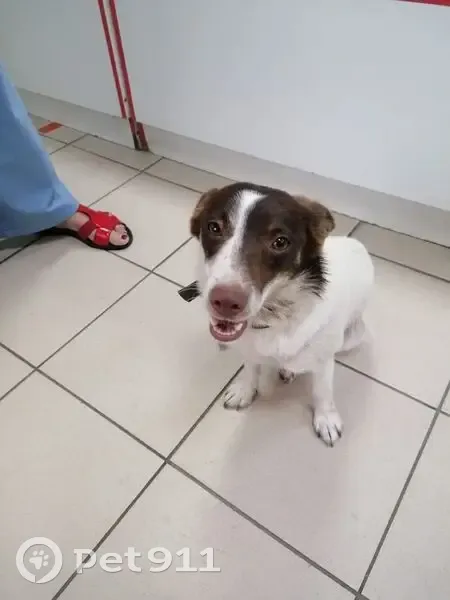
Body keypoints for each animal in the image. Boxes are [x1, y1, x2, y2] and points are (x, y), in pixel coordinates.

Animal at [191, 182, 373, 446]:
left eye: (280, 242)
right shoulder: (248, 348)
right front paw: (244, 389)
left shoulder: (324, 360)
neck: (273, 317)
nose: (225, 302)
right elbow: (250, 368)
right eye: (214, 227)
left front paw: (326, 419)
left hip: (351, 337)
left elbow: (323, 391)